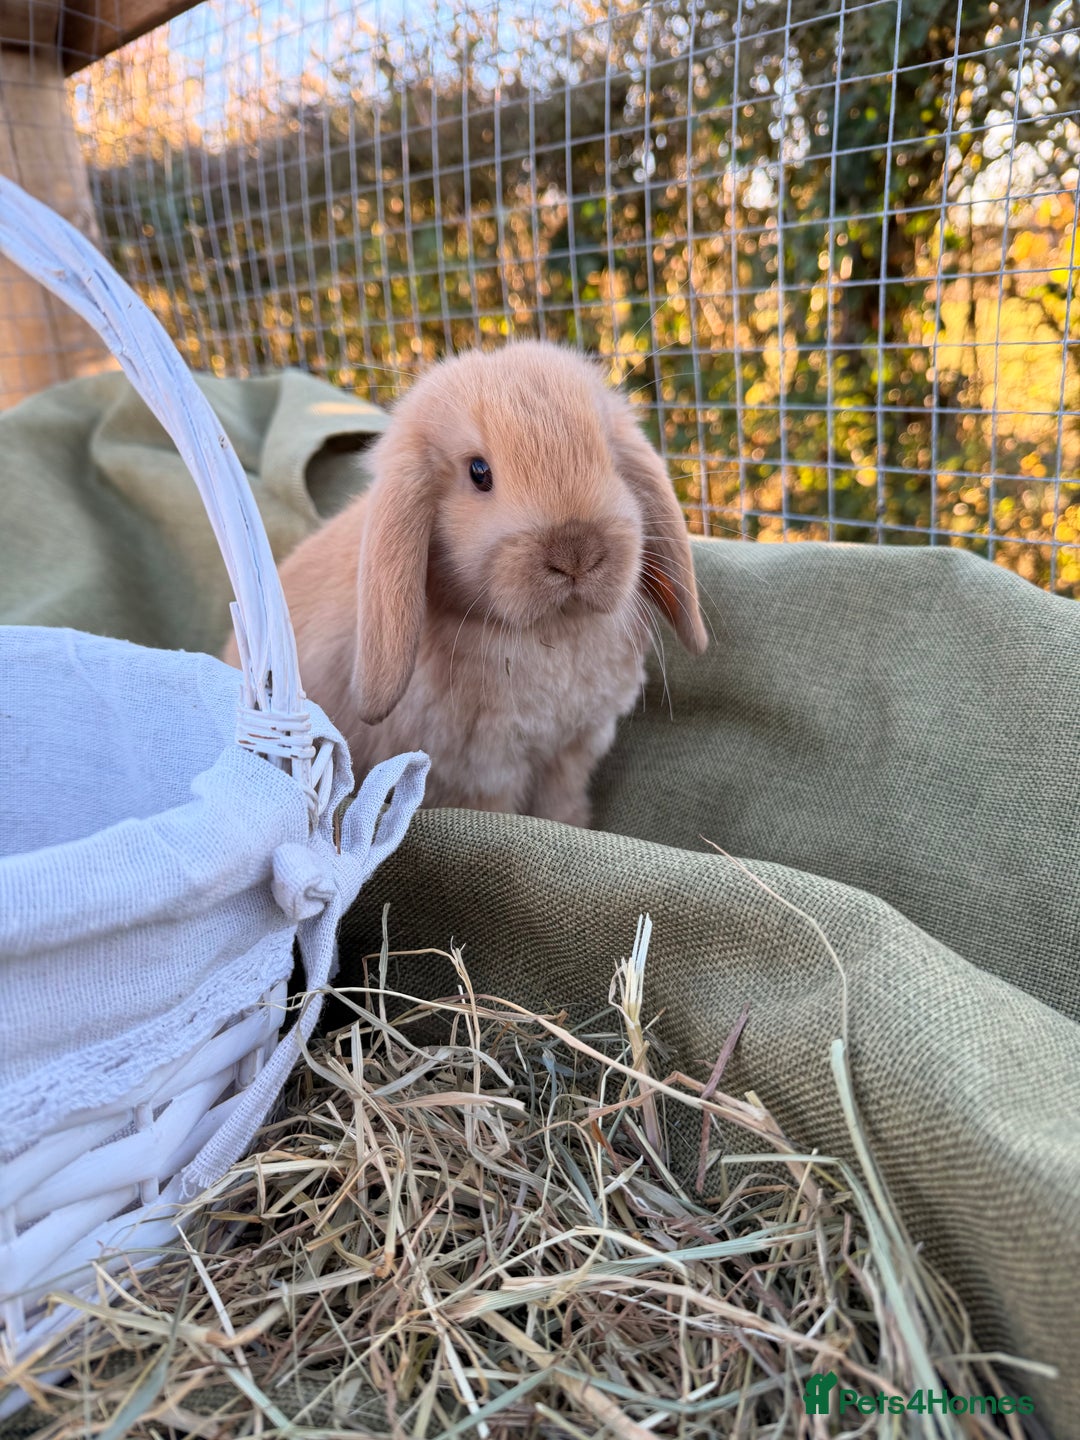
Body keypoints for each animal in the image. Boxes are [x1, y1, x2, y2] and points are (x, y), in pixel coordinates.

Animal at [225, 341, 707, 827]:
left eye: (609, 455)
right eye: (479, 472)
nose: (577, 553)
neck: (552, 631)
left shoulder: (570, 754)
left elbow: (560, 807)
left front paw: (574, 827)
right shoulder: (484, 773)